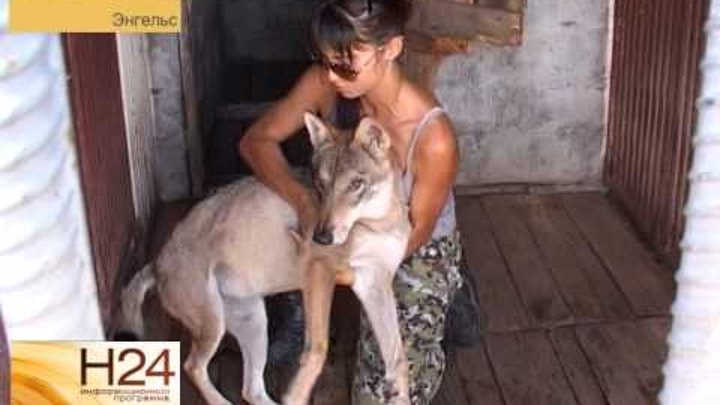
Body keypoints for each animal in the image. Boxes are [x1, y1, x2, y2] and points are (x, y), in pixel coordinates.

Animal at [118, 113, 410, 404]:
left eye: (356, 184)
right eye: (321, 186)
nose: (321, 238)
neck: (377, 224)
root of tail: (156, 262)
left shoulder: (373, 284)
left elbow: (398, 359)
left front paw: (400, 393)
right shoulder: (319, 273)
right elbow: (317, 350)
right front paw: (296, 394)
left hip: (255, 324)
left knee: (250, 389)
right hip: (215, 327)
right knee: (193, 367)